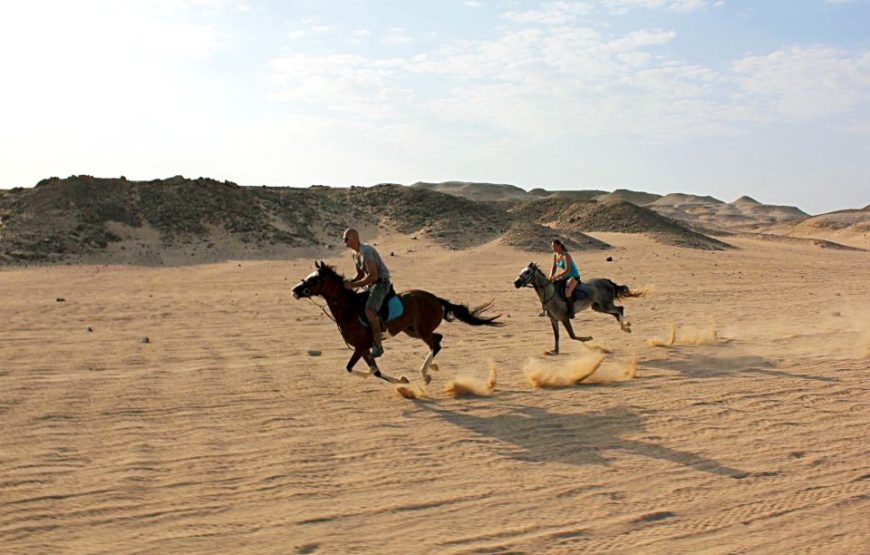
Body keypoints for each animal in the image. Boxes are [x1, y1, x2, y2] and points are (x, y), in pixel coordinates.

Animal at [292, 262, 500, 384]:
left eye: (314, 279)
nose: (295, 290)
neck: (348, 309)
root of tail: (436, 299)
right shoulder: (364, 348)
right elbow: (372, 370)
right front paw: (400, 379)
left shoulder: (361, 346)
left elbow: (354, 368)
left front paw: (395, 378)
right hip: (412, 330)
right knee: (438, 339)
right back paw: (431, 368)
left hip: (421, 331)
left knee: (435, 344)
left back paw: (425, 374)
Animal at [516, 262, 648, 356]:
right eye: (522, 271)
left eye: (527, 272)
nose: (516, 283)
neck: (550, 293)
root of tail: (608, 281)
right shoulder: (553, 319)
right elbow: (556, 336)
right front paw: (554, 351)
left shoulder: (564, 318)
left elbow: (572, 336)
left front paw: (588, 338)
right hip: (598, 307)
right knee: (616, 312)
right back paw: (626, 327)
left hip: (605, 305)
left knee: (620, 309)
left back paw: (625, 328)